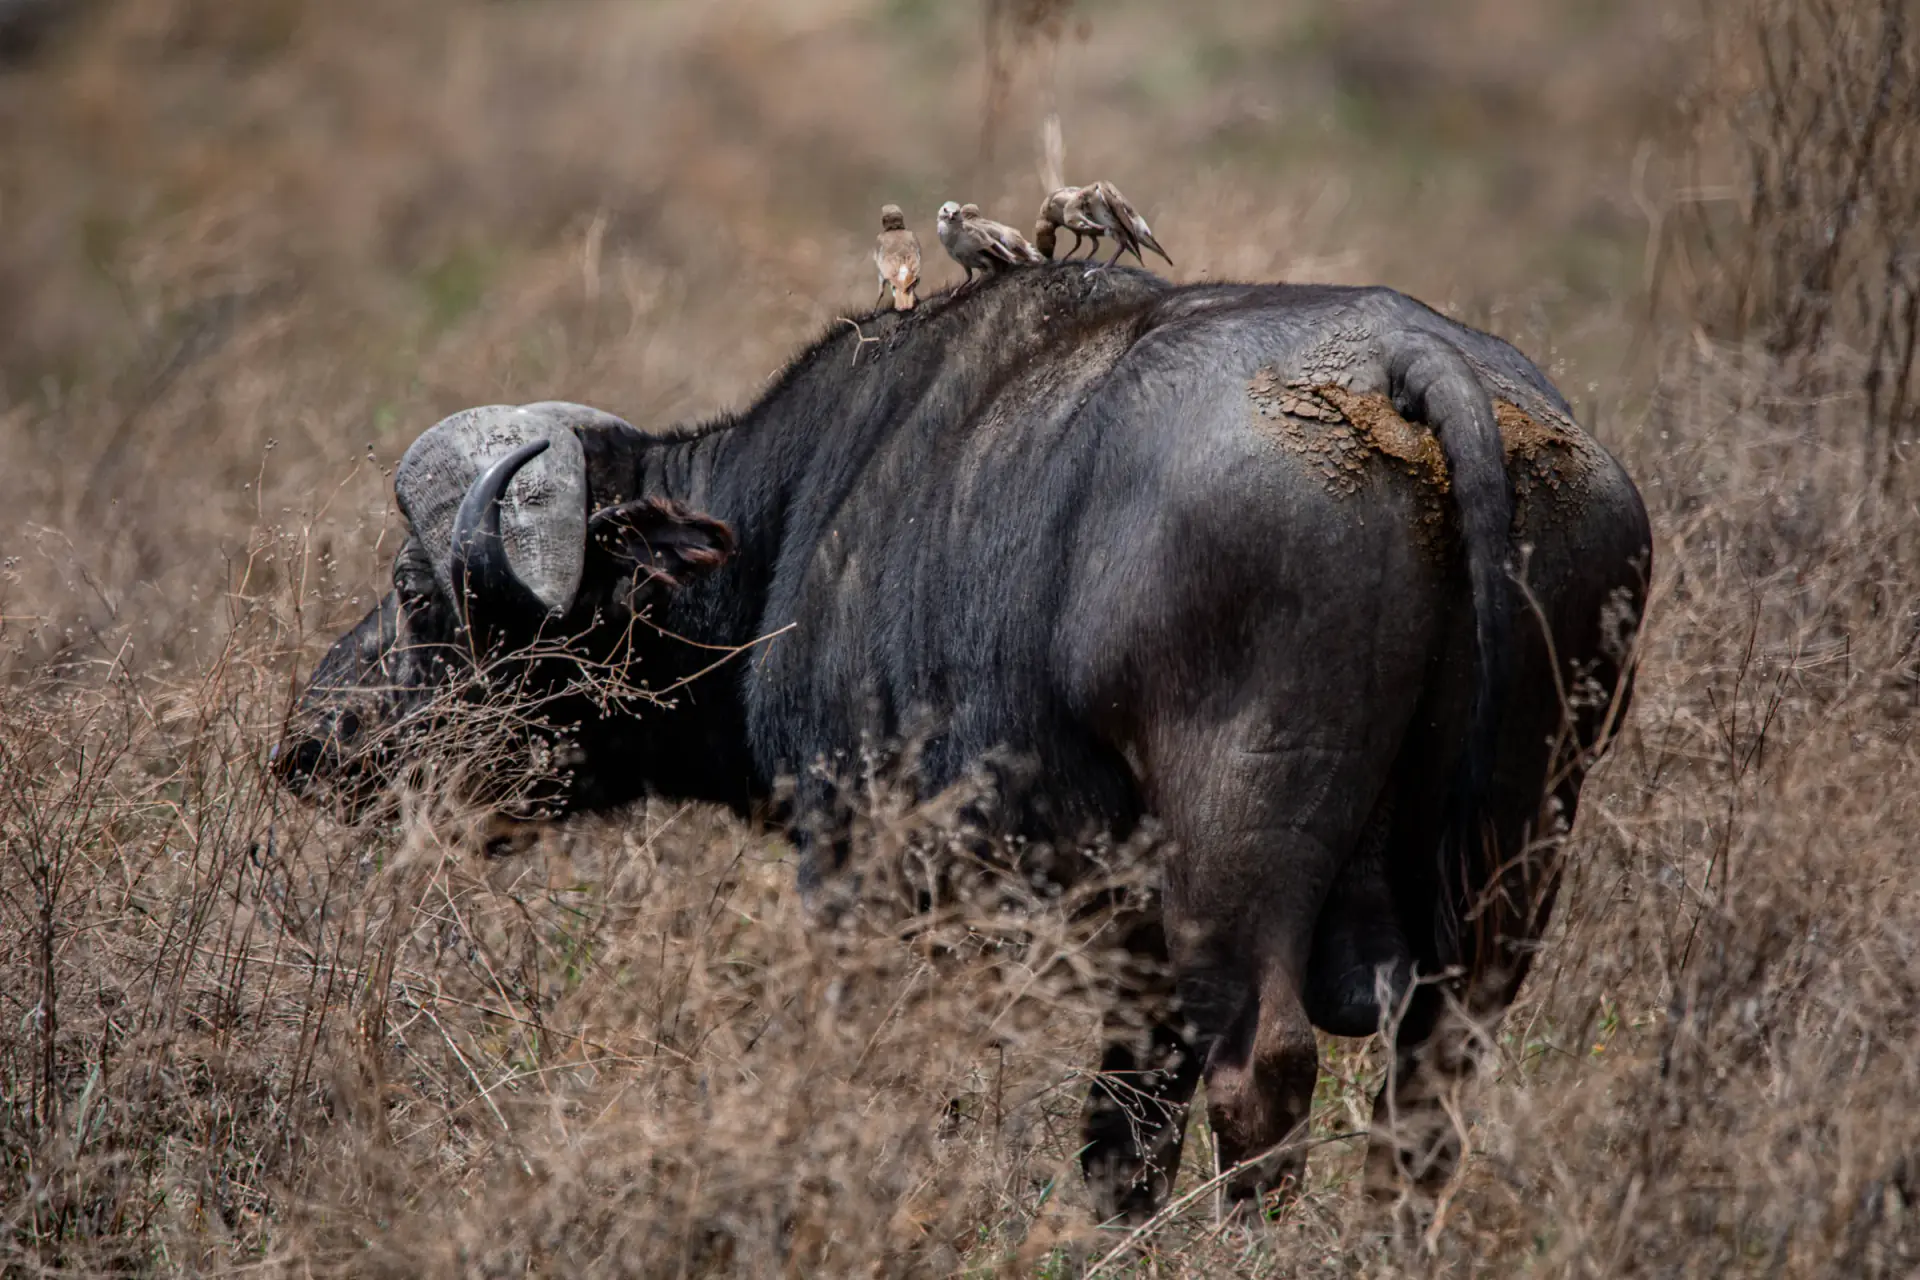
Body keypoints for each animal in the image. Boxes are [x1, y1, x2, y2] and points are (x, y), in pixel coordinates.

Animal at [277, 263, 1650, 1220]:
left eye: (421, 594)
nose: (307, 741)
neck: (792, 526)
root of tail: (1406, 360)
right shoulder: (1126, 952)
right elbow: (1120, 1134)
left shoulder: (862, 880)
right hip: (1515, 853)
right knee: (1428, 1091)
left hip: (1239, 849)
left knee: (1263, 1069)